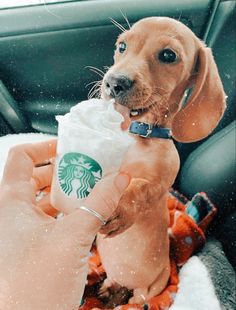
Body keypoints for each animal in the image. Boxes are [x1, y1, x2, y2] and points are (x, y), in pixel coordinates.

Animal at [97, 17, 226, 306]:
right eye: (122, 46)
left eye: (168, 55)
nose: (113, 83)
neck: (137, 134)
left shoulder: (160, 184)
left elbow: (139, 188)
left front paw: (120, 206)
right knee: (114, 281)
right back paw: (108, 289)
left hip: (151, 286)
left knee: (137, 298)